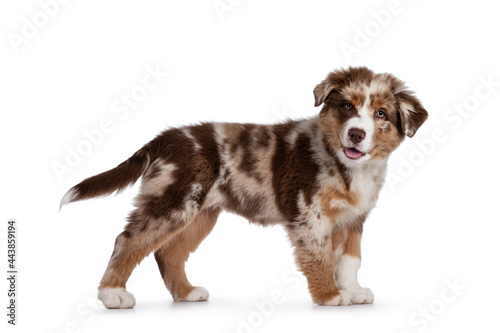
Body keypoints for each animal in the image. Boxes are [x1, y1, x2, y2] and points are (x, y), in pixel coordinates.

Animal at [59, 66, 426, 308]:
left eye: (381, 113)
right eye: (347, 106)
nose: (356, 134)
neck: (347, 165)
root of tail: (166, 138)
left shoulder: (352, 220)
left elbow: (350, 260)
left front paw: (354, 290)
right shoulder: (309, 215)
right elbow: (320, 258)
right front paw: (330, 295)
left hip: (200, 213)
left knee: (167, 252)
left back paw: (186, 293)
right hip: (173, 201)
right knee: (128, 240)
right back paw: (112, 294)